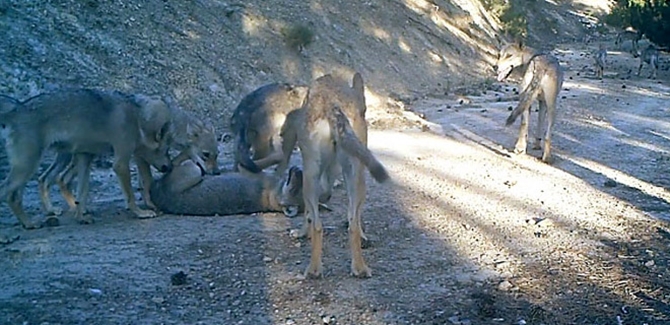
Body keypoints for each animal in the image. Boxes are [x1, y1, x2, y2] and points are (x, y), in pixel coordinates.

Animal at [276, 72, 392, 278]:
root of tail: (332, 105)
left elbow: (308, 215)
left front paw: (301, 233)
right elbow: (355, 218)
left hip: (314, 179)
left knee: (319, 225)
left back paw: (314, 270)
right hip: (353, 178)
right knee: (350, 225)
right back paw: (358, 268)